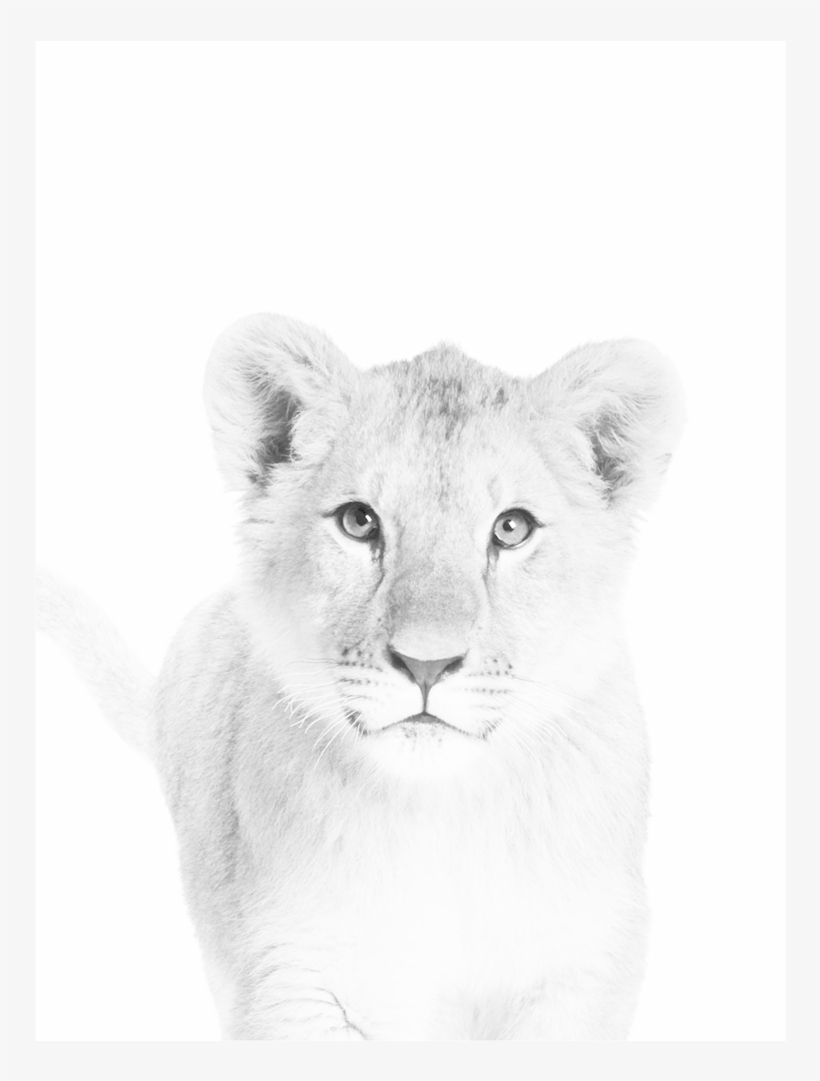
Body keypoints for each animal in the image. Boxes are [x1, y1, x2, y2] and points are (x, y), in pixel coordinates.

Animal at [36, 313, 685, 1040]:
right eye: (358, 520)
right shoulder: (294, 979)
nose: (427, 663)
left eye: (512, 528)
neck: (445, 816)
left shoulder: (583, 969)